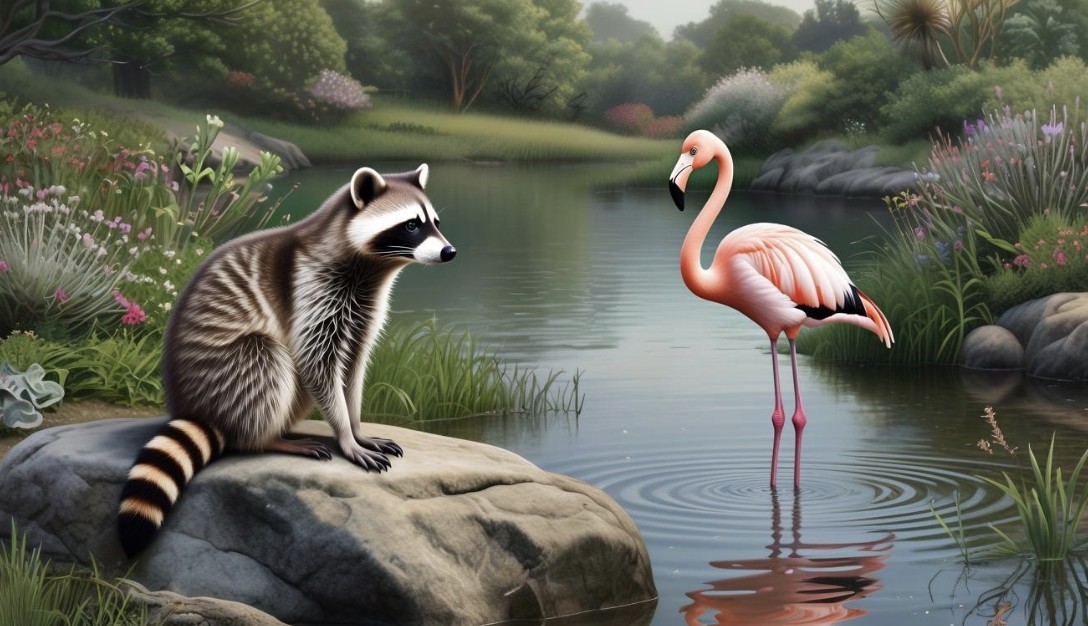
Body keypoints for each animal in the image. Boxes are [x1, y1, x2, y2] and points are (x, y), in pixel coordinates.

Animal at [117, 164, 454, 557]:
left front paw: (356, 427)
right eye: (412, 225)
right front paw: (345, 437)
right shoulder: (312, 290)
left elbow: (354, 369)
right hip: (228, 369)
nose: (449, 251)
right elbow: (315, 362)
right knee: (267, 361)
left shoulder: (362, 312)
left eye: (435, 221)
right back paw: (269, 440)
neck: (372, 267)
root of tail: (197, 408)